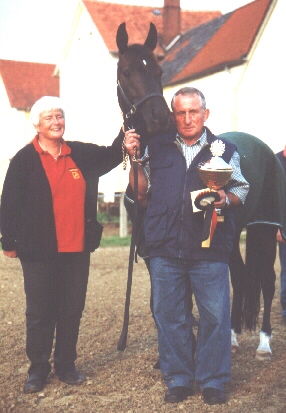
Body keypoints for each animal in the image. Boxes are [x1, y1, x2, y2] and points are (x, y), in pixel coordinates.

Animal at [115, 22, 286, 358]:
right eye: (126, 71)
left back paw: (263, 342)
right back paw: (232, 336)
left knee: (267, 280)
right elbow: (163, 302)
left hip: (263, 227)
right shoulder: (150, 246)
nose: (159, 118)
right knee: (240, 275)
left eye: (159, 70)